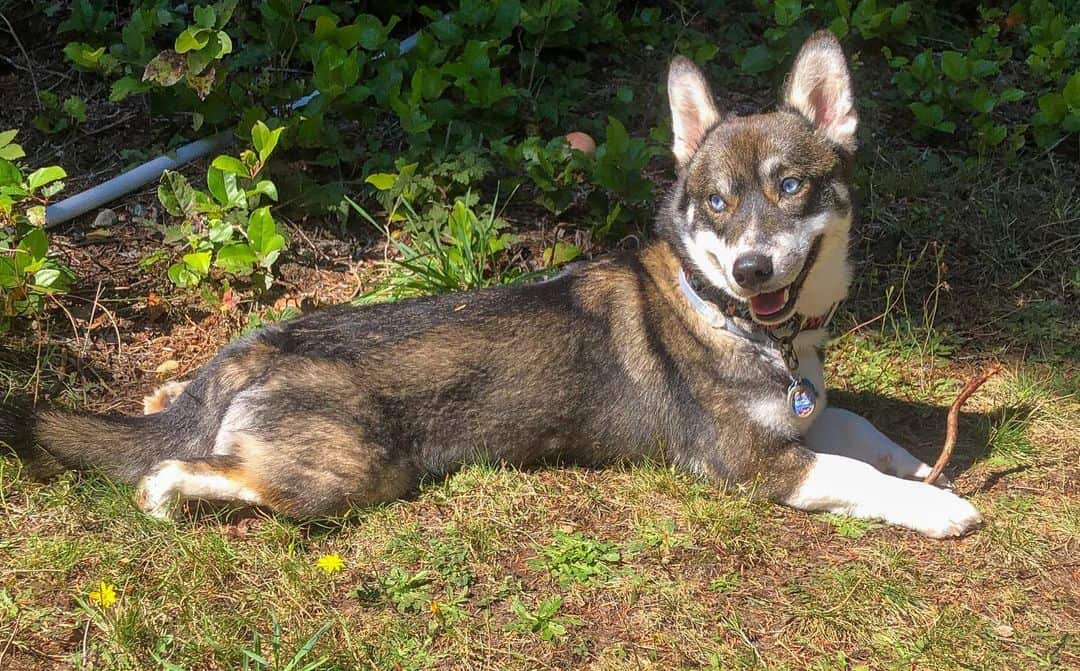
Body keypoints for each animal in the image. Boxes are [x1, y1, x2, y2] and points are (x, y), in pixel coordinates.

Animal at [0, 34, 984, 542]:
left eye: (791, 187)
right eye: (715, 202)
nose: (751, 269)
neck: (748, 326)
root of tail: (256, 355)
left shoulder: (805, 408)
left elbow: (860, 428)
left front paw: (915, 457)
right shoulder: (755, 464)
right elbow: (854, 473)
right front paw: (938, 502)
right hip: (350, 477)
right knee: (178, 471)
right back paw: (167, 493)